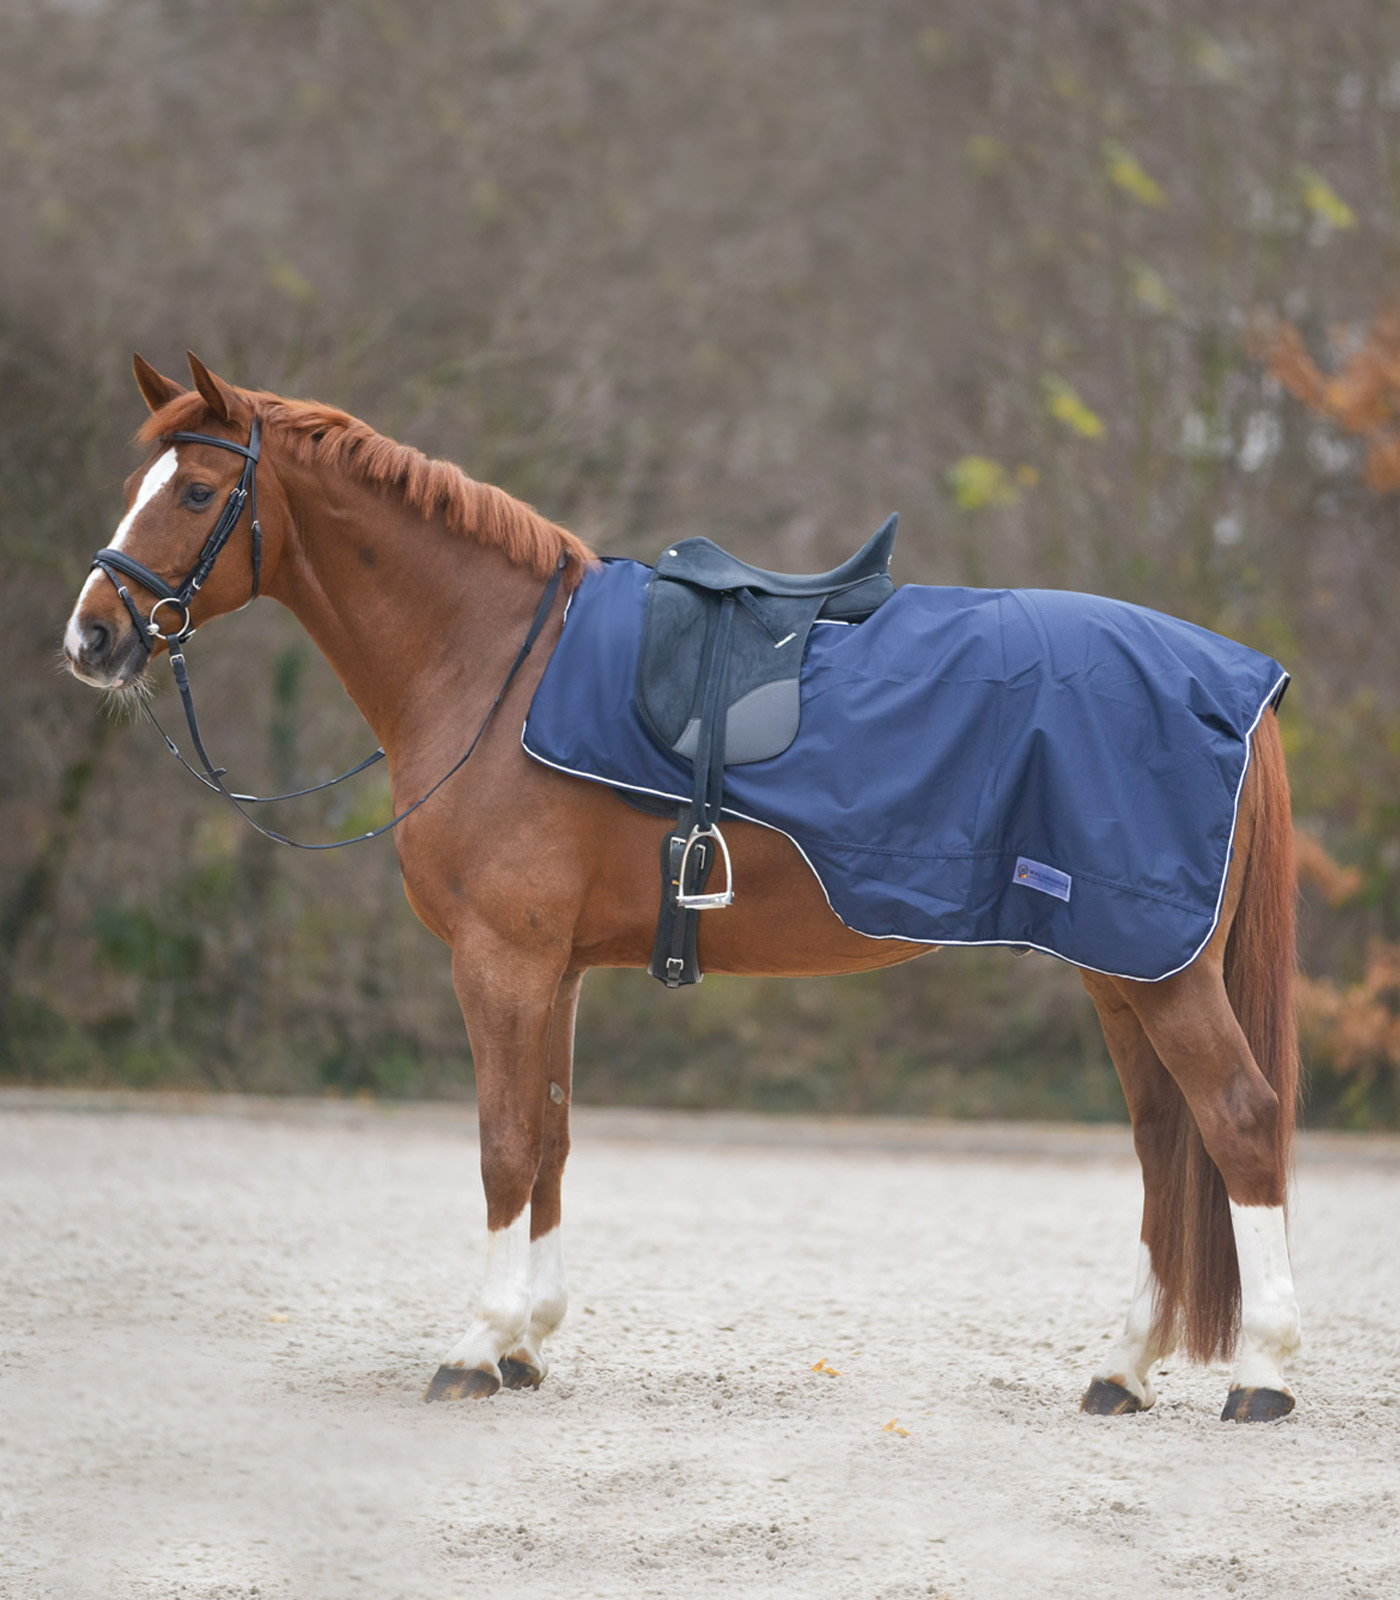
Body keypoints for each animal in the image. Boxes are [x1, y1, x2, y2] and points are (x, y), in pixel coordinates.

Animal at [60, 356, 1299, 1420]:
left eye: (199, 490)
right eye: (134, 487)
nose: (91, 636)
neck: (494, 666)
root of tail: (1233, 682)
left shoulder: (500, 958)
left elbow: (502, 1142)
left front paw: (475, 1344)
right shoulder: (552, 968)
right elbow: (551, 1138)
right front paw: (526, 1342)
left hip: (1158, 970)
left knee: (1236, 1120)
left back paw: (1263, 1373)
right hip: (1116, 966)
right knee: (1162, 1140)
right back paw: (1121, 1366)